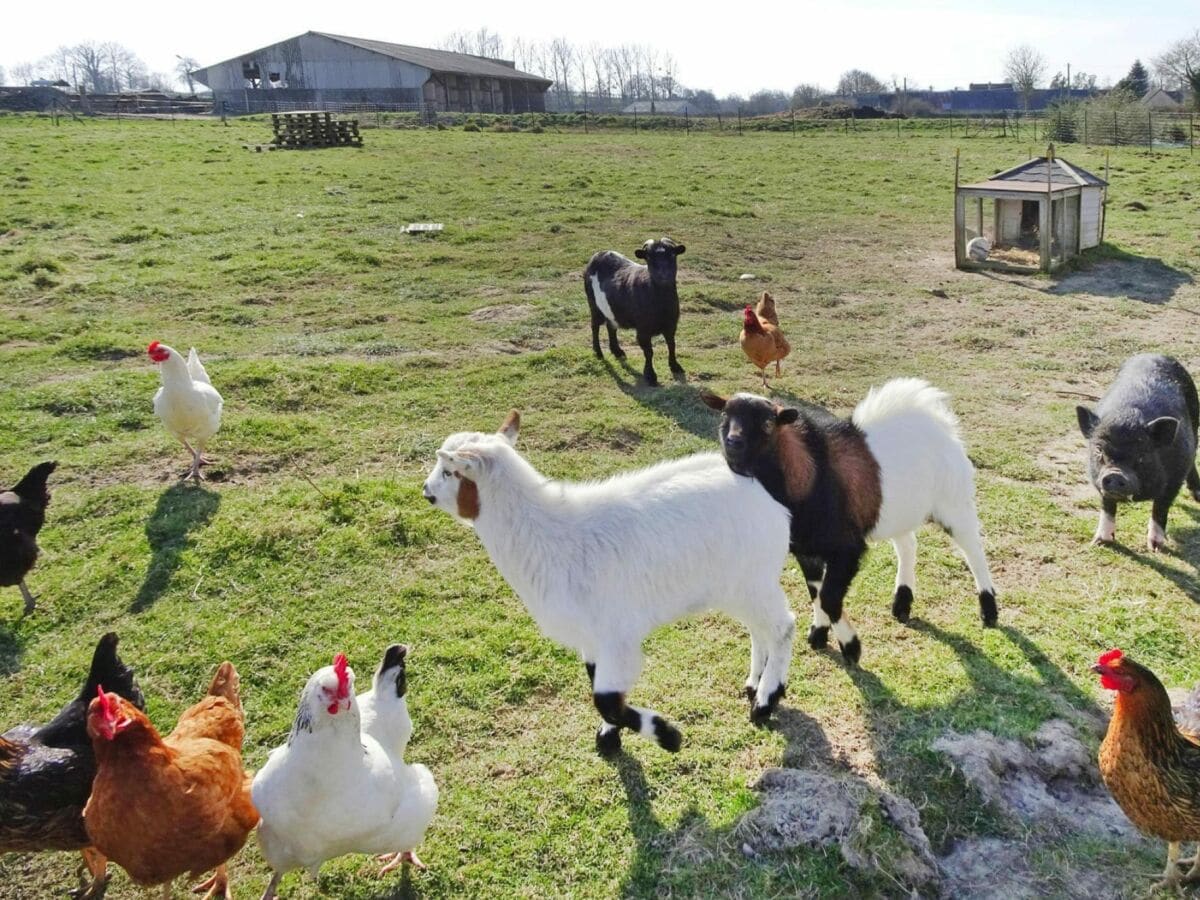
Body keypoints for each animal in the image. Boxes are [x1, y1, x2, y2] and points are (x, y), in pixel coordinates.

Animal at [422, 412, 796, 758]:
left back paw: (765, 701)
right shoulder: (591, 635)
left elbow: (605, 699)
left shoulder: (617, 634)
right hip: (737, 585)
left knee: (783, 627)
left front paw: (667, 736)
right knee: (758, 628)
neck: (551, 537)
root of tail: (760, 487)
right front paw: (609, 737)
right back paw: (754, 683)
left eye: (449, 472)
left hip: (753, 579)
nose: (426, 492)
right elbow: (595, 679)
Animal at [580, 236, 686, 388]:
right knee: (595, 326)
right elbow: (649, 352)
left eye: (672, 255)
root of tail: (599, 254)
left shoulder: (671, 325)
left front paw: (675, 366)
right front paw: (650, 376)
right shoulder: (643, 329)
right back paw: (598, 353)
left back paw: (617, 351)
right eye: (649, 257)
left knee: (611, 326)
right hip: (593, 304)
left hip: (612, 310)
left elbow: (672, 345)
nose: (663, 275)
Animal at [700, 376, 993, 667]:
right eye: (725, 415)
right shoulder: (807, 551)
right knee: (908, 544)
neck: (812, 475)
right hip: (899, 511)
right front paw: (818, 635)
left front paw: (851, 647)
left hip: (953, 501)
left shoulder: (847, 549)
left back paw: (989, 611)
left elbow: (829, 597)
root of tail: (936, 417)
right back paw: (902, 603)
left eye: (768, 423)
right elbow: (816, 592)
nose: (733, 442)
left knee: (973, 548)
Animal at [1080, 355, 1200, 554]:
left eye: (1142, 453)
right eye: (1098, 450)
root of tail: (1154, 353)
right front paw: (1100, 542)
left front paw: (1155, 548)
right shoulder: (1098, 479)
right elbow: (1107, 507)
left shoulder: (1174, 481)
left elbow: (1160, 509)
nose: (1115, 474)